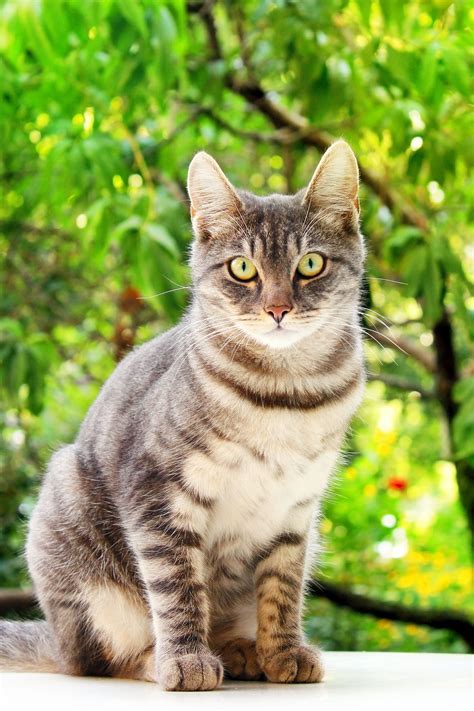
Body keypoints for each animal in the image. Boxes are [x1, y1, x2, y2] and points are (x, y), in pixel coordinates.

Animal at [0, 139, 366, 688]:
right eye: (242, 269)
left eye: (311, 264)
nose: (278, 309)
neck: (284, 394)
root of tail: (57, 642)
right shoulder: (158, 494)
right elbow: (177, 587)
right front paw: (187, 659)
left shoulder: (296, 511)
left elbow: (282, 588)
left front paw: (283, 653)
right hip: (75, 541)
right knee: (101, 659)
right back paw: (161, 659)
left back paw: (241, 651)